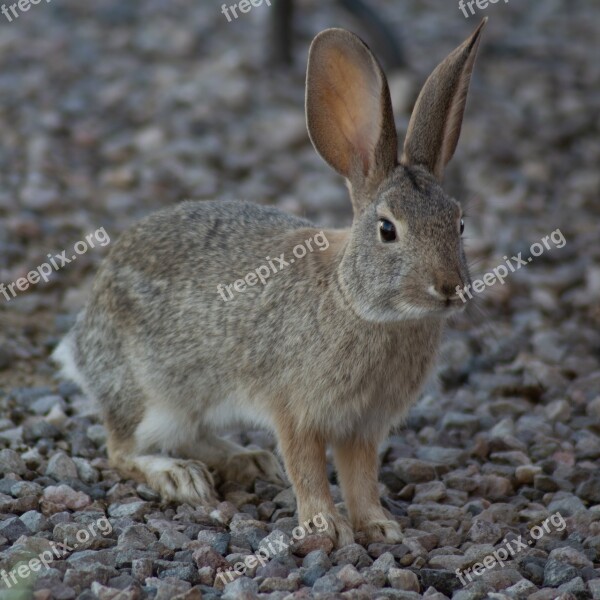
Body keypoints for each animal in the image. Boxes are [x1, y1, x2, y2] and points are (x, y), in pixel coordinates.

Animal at [54, 21, 488, 548]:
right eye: (388, 229)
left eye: (459, 223)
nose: (449, 288)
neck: (357, 302)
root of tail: (81, 341)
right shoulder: (296, 413)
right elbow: (307, 469)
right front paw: (328, 529)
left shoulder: (362, 427)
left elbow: (361, 477)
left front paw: (380, 527)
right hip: (150, 396)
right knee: (120, 449)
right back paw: (180, 476)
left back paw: (248, 460)